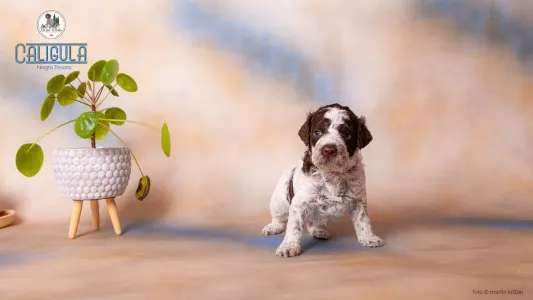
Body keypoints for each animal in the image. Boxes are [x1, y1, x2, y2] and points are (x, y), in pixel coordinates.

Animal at [260, 103, 382, 258]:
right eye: (317, 132)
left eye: (346, 134)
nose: (329, 149)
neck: (332, 173)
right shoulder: (299, 204)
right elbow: (294, 226)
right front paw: (289, 246)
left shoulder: (358, 200)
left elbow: (363, 220)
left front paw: (368, 237)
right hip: (279, 201)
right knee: (280, 217)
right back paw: (274, 226)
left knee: (314, 222)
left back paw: (319, 230)